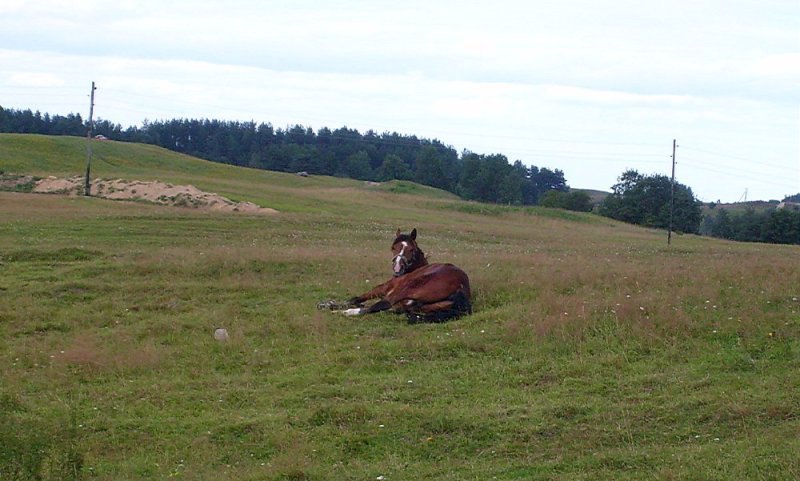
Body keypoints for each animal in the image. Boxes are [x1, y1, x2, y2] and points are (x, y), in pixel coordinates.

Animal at [318, 228, 472, 322]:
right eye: (393, 247)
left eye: (411, 249)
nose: (397, 267)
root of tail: (461, 286)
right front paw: (329, 304)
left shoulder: (384, 288)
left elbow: (356, 299)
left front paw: (329, 305)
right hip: (418, 306)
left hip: (405, 289)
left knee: (379, 306)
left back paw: (345, 312)